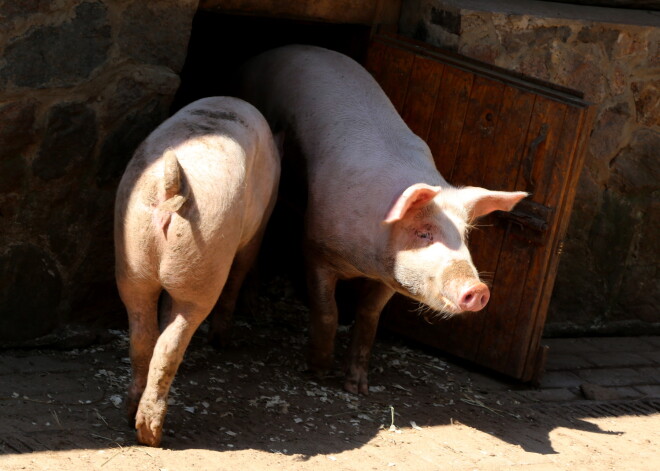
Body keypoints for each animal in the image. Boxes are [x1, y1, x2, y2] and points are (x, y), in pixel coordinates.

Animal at [114, 97, 280, 446]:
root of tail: (174, 185)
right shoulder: (258, 230)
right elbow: (241, 270)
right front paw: (223, 341)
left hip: (131, 253)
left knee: (143, 334)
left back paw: (130, 414)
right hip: (207, 253)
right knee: (173, 339)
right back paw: (152, 434)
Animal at [240, 47, 528, 394]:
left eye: (464, 236)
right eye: (423, 233)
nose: (479, 289)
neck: (365, 262)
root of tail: (267, 54)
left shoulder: (389, 279)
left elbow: (369, 317)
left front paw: (357, 388)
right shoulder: (315, 248)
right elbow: (328, 311)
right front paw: (318, 372)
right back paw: (253, 309)